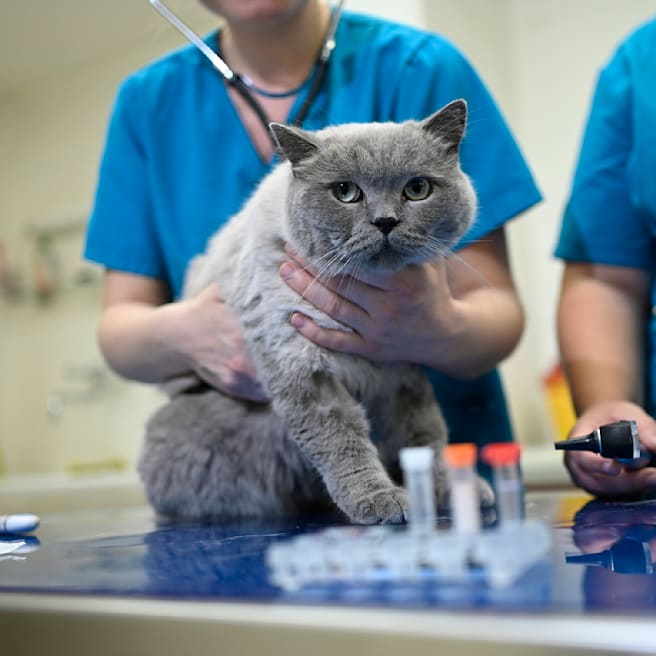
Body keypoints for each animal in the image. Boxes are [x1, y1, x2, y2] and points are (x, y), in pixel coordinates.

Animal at [138, 100, 492, 524]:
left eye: (418, 189)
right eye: (345, 192)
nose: (385, 221)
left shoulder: (403, 366)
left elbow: (426, 434)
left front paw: (450, 491)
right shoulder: (301, 365)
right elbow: (340, 440)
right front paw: (379, 500)